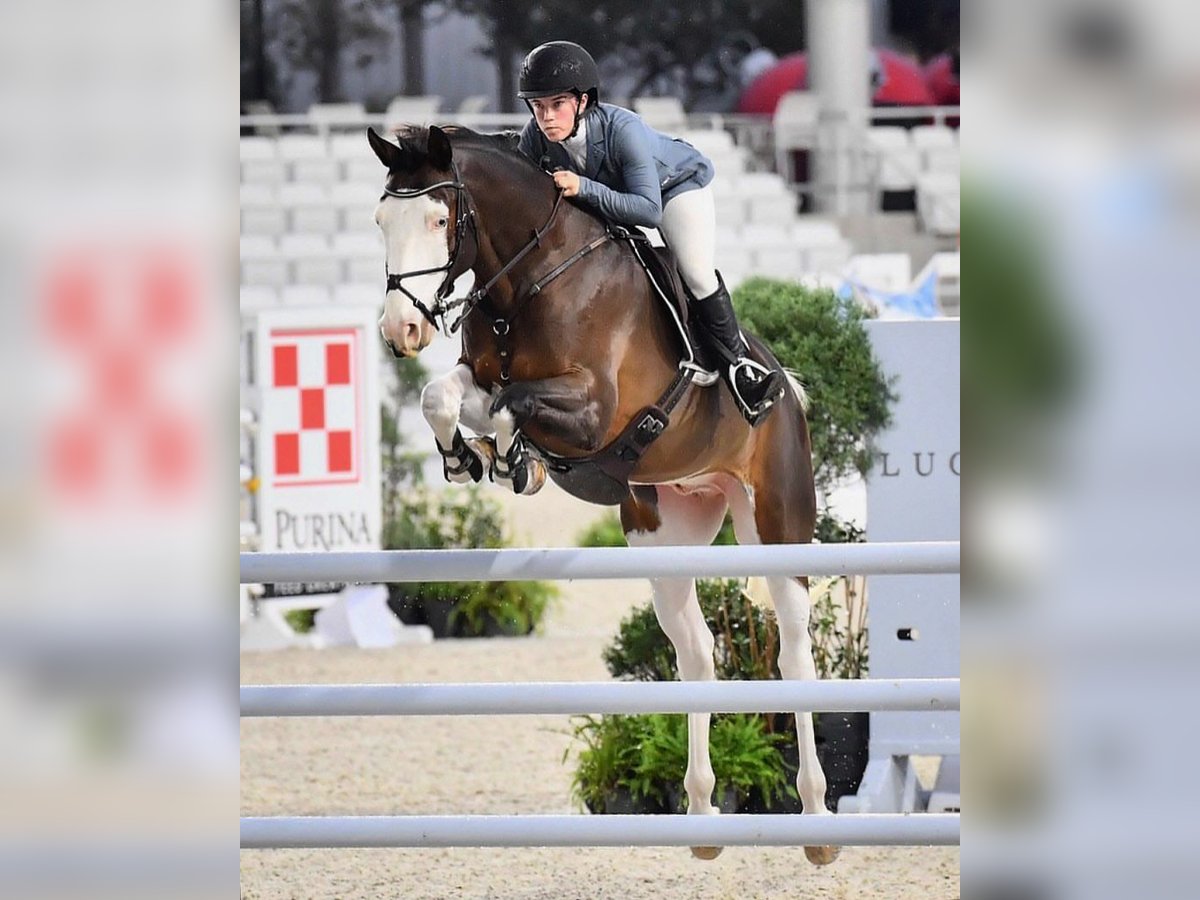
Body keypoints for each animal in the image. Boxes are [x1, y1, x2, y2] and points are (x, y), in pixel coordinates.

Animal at [364, 123, 835, 864]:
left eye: (440, 220)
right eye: (383, 220)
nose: (399, 332)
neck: (528, 280)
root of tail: (786, 383)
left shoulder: (592, 409)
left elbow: (510, 404)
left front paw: (513, 458)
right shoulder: (475, 375)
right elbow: (443, 395)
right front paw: (470, 458)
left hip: (777, 524)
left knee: (793, 652)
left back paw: (816, 821)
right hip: (664, 538)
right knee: (696, 655)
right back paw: (702, 816)